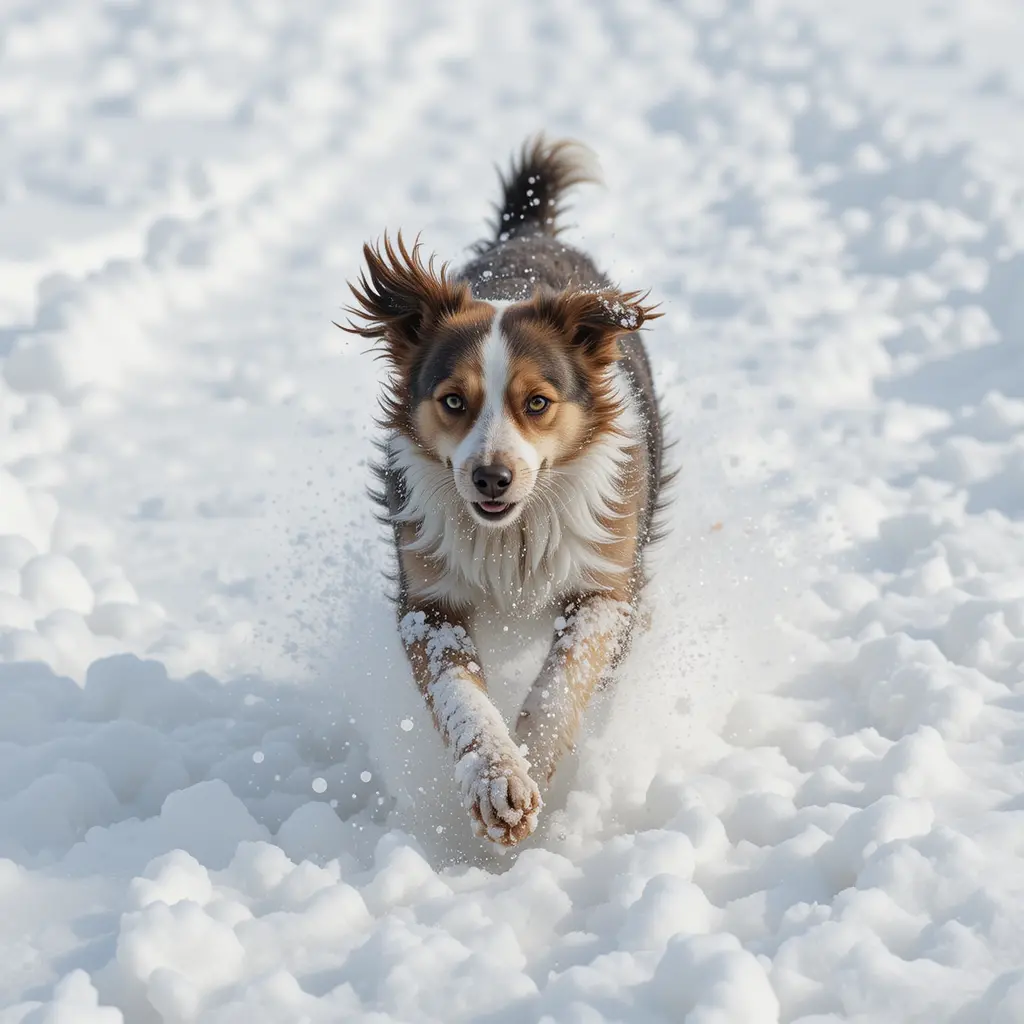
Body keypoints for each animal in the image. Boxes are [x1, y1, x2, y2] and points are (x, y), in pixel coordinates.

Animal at [339, 136, 667, 847]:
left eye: (537, 402)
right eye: (452, 400)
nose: (492, 476)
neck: (510, 534)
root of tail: (527, 232)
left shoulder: (604, 582)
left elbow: (560, 683)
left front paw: (531, 764)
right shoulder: (428, 597)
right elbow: (459, 692)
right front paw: (497, 780)